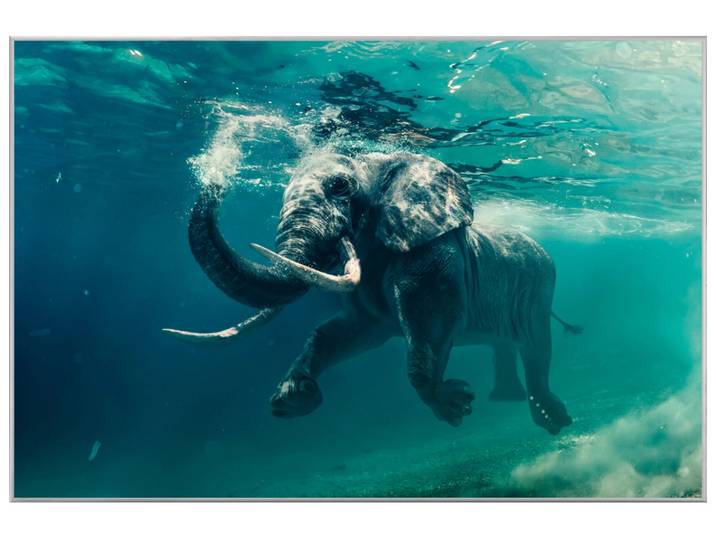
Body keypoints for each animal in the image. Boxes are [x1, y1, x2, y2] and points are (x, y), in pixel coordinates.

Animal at [164, 150, 582, 434]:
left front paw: (455, 405)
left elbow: (430, 326)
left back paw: (553, 421)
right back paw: (510, 401)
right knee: (508, 344)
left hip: (540, 287)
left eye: (339, 187)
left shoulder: (433, 255)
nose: (216, 176)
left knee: (536, 347)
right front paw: (291, 400)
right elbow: (344, 332)